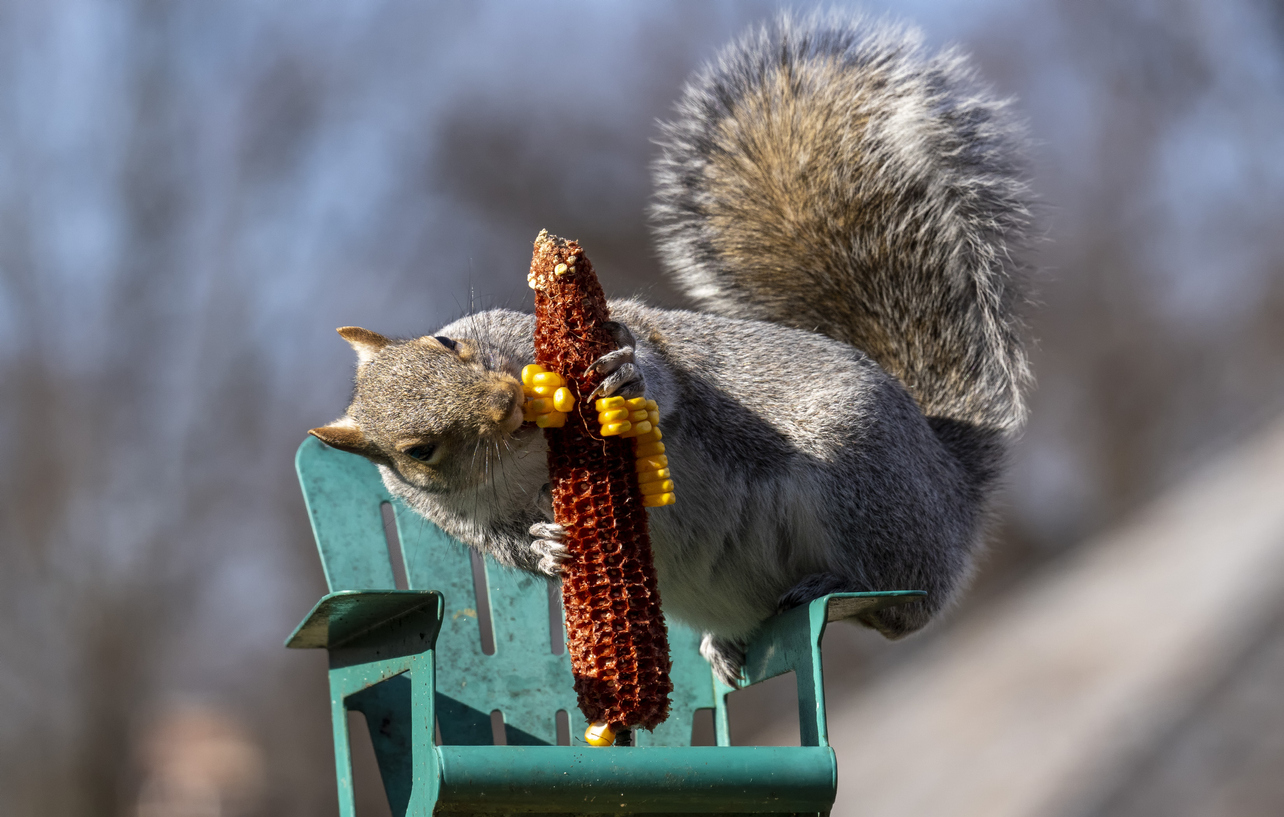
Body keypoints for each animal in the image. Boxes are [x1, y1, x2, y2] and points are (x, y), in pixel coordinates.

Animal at [308, 11, 1032, 683]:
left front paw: (625, 383)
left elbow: (661, 368)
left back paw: (843, 585)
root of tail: (952, 489)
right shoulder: (450, 512)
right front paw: (543, 547)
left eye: (449, 339)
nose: (506, 403)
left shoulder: (626, 330)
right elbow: (501, 542)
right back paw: (726, 645)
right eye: (418, 451)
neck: (524, 453)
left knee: (905, 603)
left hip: (860, 473)